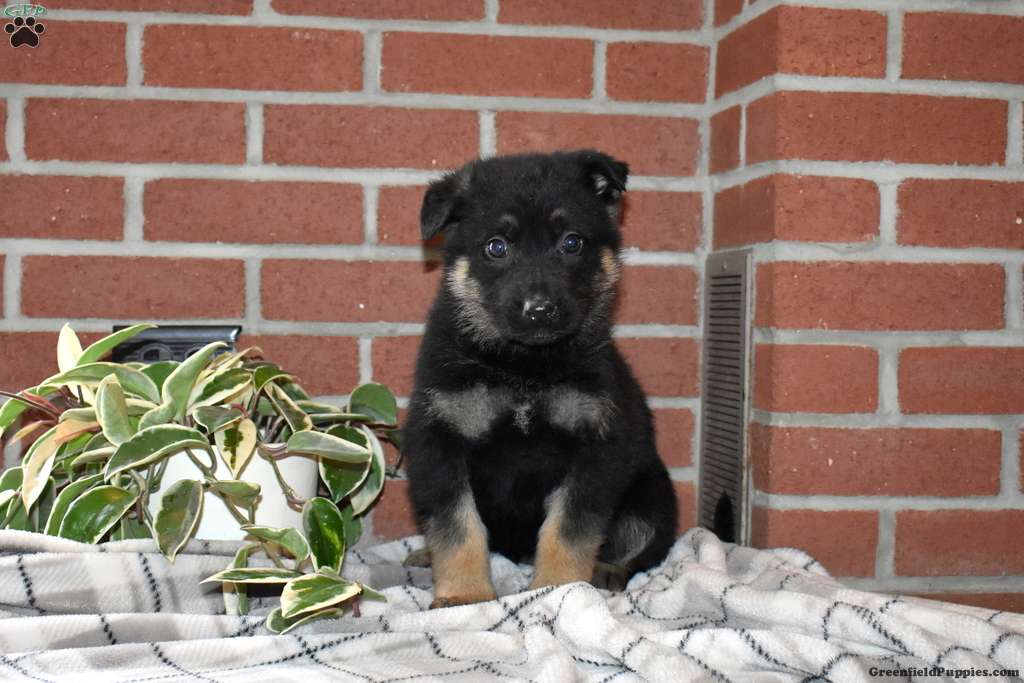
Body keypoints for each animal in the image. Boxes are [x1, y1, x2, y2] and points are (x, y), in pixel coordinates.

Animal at [403, 150, 678, 608]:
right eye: (496, 247)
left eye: (572, 242)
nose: (540, 309)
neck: (524, 368)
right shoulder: (439, 440)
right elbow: (458, 526)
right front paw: (463, 594)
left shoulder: (598, 446)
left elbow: (568, 528)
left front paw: (560, 588)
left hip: (651, 498)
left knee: (640, 543)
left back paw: (607, 570)